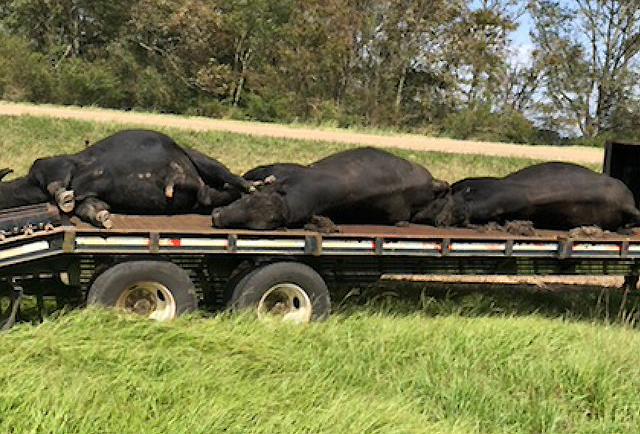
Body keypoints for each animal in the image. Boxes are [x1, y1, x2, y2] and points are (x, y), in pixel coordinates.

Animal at [0, 129, 251, 227]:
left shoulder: (57, 165)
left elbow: (57, 184)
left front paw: (63, 197)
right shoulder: (92, 198)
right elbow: (87, 208)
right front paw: (101, 218)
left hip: (204, 161)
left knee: (232, 177)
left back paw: (253, 185)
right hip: (208, 194)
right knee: (215, 194)